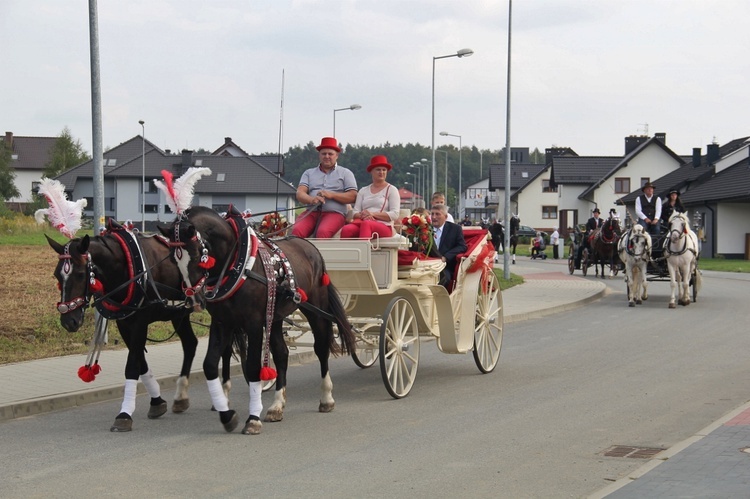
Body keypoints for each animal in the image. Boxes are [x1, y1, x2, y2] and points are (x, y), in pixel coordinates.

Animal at [45, 227, 232, 434]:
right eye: (57, 275)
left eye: (79, 274)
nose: (68, 321)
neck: (127, 269)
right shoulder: (125, 323)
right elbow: (141, 362)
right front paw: (157, 401)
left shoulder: (140, 321)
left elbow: (132, 365)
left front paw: (124, 414)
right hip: (180, 313)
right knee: (190, 344)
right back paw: (181, 396)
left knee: (225, 347)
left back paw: (223, 395)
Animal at [169, 207, 356, 438]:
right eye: (174, 259)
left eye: (197, 255)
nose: (193, 300)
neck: (236, 264)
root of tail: (311, 247)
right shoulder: (222, 322)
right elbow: (210, 365)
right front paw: (227, 415)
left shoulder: (254, 322)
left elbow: (252, 367)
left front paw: (253, 419)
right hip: (275, 316)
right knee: (282, 354)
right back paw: (277, 406)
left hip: (316, 308)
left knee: (321, 348)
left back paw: (326, 398)